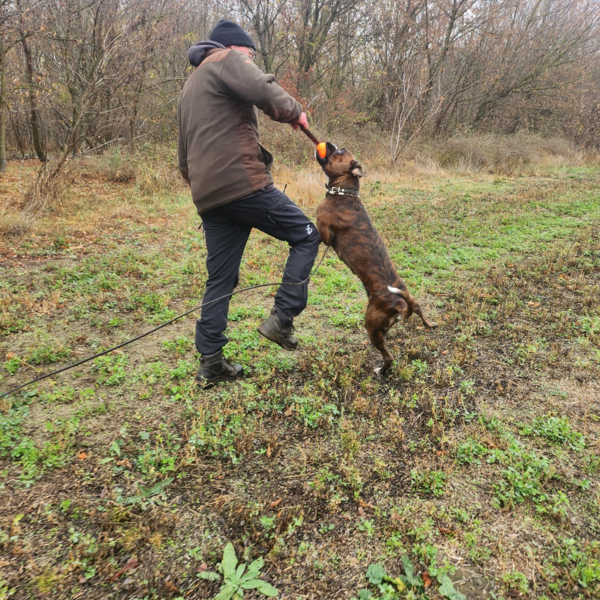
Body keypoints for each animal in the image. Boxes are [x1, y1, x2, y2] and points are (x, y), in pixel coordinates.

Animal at [315, 142, 437, 374]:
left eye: (339, 153)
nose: (331, 144)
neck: (345, 192)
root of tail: (400, 304)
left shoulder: (324, 234)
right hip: (409, 299)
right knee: (419, 308)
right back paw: (430, 324)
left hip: (372, 326)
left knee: (389, 357)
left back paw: (381, 370)